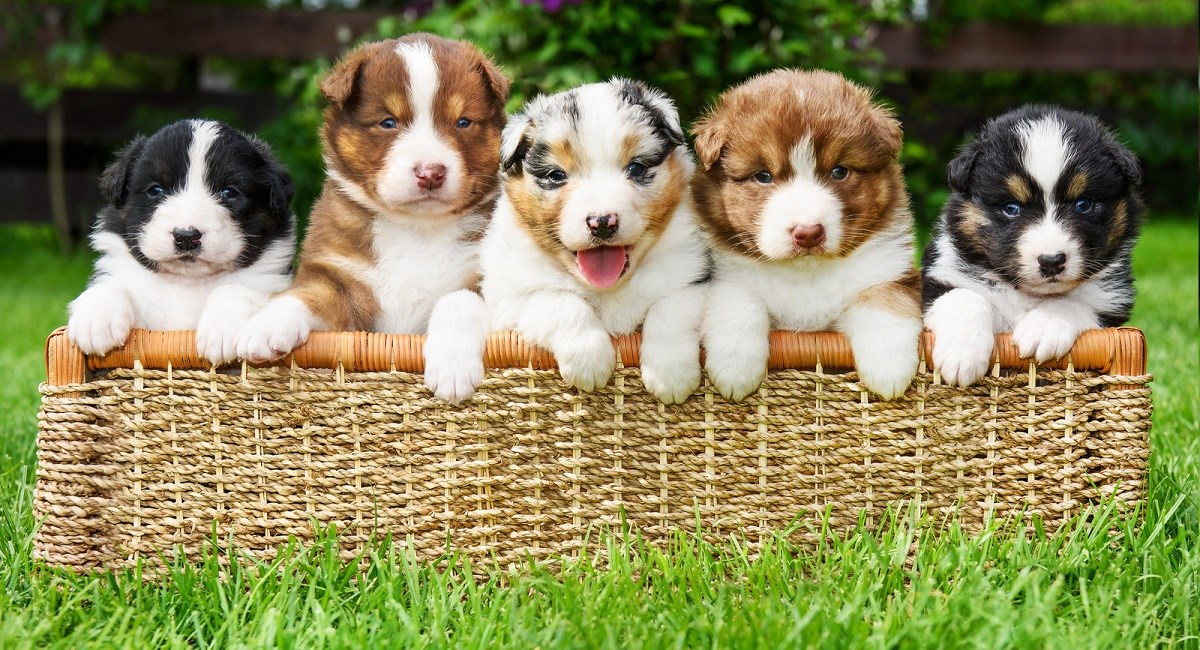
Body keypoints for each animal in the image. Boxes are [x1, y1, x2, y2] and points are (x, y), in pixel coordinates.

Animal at [68, 119, 297, 364]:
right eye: (156, 190)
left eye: (229, 192)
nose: (186, 236)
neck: (187, 282)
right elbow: (112, 285)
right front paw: (95, 321)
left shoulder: (271, 284)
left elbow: (233, 289)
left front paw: (221, 330)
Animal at [235, 34, 511, 407]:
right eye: (388, 122)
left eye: (463, 122)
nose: (430, 172)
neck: (417, 228)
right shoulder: (340, 281)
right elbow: (305, 295)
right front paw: (263, 327)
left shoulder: (486, 278)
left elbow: (457, 300)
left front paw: (452, 368)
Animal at [480, 76, 710, 402]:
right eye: (556, 175)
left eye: (636, 167)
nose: (602, 223)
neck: (606, 289)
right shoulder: (509, 298)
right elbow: (558, 300)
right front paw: (590, 360)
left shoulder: (694, 274)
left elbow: (671, 307)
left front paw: (670, 375)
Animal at [691, 68, 921, 400]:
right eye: (763, 176)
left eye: (839, 172)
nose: (809, 232)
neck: (805, 273)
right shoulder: (726, 273)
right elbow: (736, 298)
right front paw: (734, 370)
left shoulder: (892, 271)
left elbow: (882, 298)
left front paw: (889, 370)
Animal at [921, 103, 1147, 383]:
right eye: (1011, 208)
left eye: (1083, 204)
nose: (1052, 261)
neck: (1025, 294)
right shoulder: (936, 278)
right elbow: (964, 296)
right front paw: (961, 354)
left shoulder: (1112, 303)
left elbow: (1072, 301)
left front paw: (1043, 327)